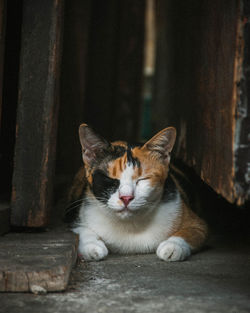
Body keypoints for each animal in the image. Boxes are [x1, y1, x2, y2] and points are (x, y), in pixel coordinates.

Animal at [66, 123, 207, 260]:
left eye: (142, 179)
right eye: (110, 179)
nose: (126, 198)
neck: (130, 226)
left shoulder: (198, 223)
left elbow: (192, 231)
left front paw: (172, 247)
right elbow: (81, 230)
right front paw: (92, 247)